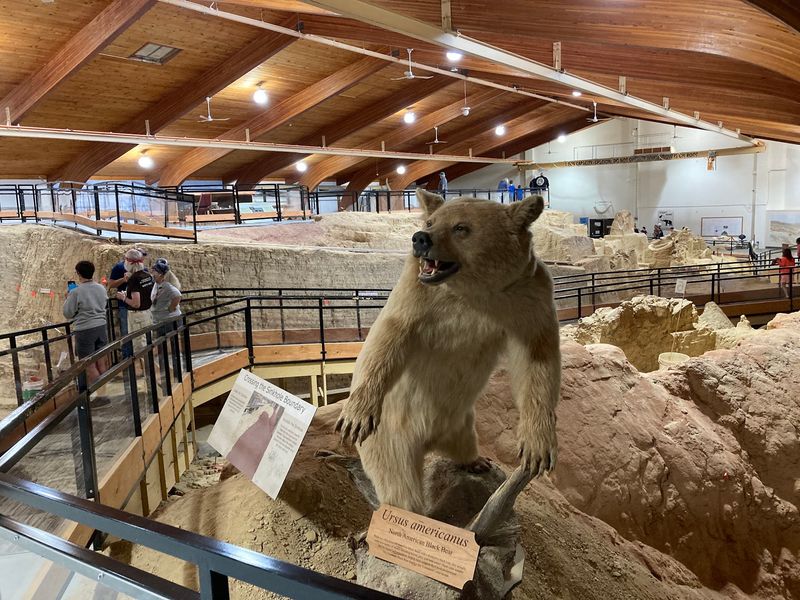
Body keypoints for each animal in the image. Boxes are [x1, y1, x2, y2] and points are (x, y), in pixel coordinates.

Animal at [336, 188, 560, 515]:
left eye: (461, 227)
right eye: (430, 222)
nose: (420, 238)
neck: (470, 292)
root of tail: (430, 440)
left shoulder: (529, 296)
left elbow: (538, 359)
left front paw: (537, 448)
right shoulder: (417, 293)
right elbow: (389, 334)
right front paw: (357, 415)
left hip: (463, 419)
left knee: (463, 440)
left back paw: (476, 461)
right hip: (392, 432)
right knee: (397, 479)